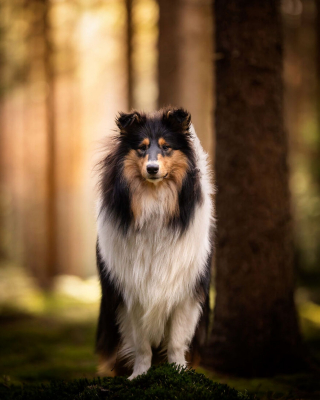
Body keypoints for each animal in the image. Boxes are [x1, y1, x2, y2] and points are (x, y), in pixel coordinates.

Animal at [96, 108, 214, 380]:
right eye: (141, 148)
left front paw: (179, 371)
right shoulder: (132, 293)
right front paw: (139, 375)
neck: (155, 200)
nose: (152, 168)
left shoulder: (184, 291)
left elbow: (177, 341)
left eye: (166, 147)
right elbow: (141, 344)